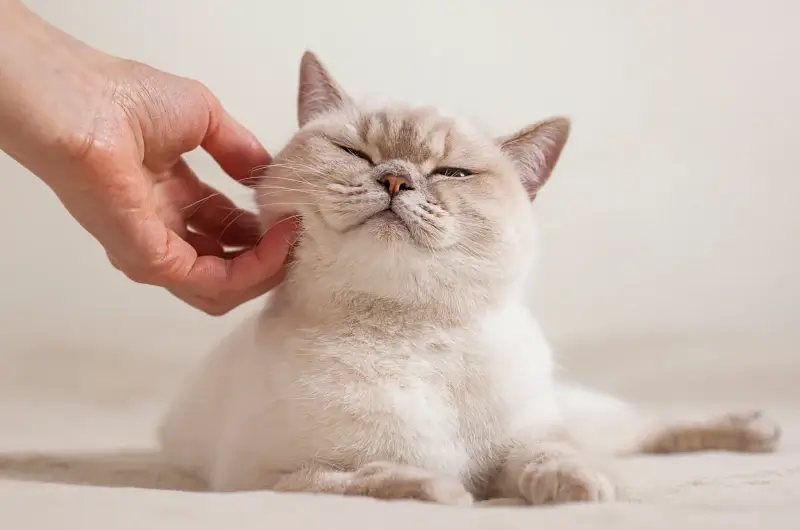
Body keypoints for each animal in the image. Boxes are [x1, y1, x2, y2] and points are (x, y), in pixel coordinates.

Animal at [159, 52, 784, 504]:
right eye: (354, 153)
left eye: (452, 173)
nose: (395, 179)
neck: (408, 334)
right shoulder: (268, 477)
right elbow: (373, 477)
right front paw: (443, 491)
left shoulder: (522, 442)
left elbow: (544, 457)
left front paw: (578, 489)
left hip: (583, 414)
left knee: (644, 427)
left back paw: (757, 430)